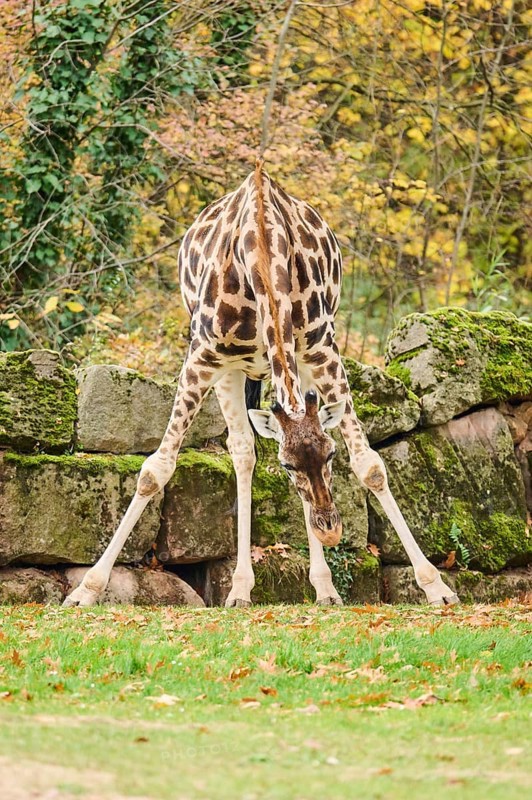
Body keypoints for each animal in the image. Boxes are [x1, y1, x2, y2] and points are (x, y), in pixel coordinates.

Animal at [64, 161, 459, 608]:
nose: (330, 530)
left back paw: (324, 589)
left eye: (330, 454)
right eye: (286, 465)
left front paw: (436, 586)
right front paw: (85, 590)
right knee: (243, 451)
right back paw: (239, 589)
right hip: (231, 369)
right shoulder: (202, 357)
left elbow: (370, 466)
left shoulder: (322, 348)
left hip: (295, 359)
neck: (264, 258)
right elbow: (155, 470)